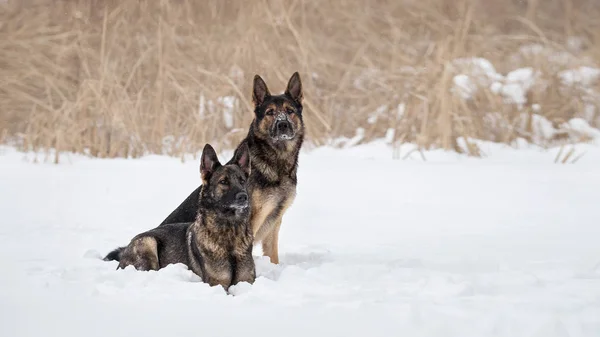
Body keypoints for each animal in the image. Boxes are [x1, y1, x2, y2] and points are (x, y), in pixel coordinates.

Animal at [157, 72, 304, 264]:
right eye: (270, 112)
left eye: (290, 111)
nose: (283, 125)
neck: (276, 162)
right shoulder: (251, 222)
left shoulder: (274, 223)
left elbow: (273, 257)